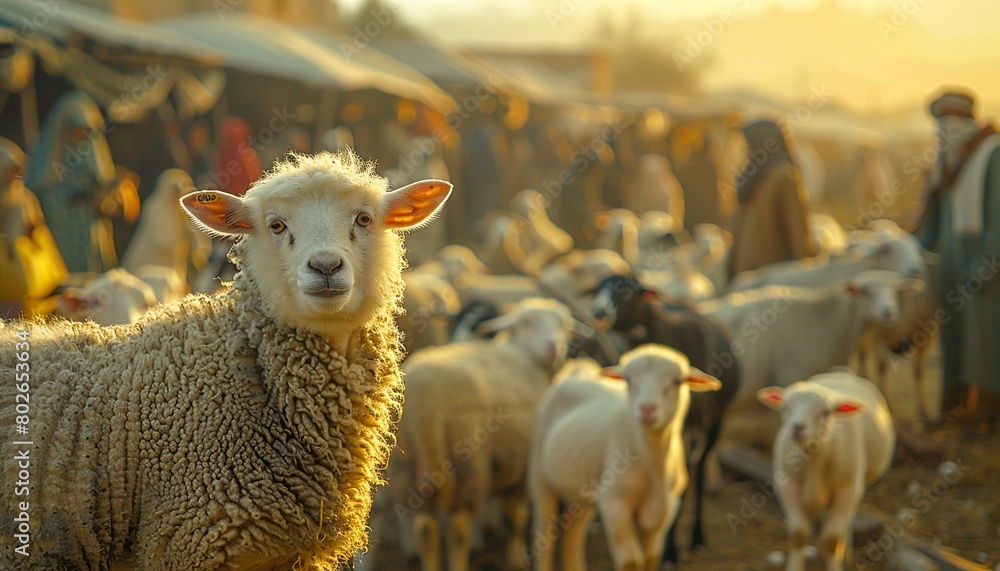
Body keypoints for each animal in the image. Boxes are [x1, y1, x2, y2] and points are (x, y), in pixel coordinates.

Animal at [390, 300, 580, 571]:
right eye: (527, 322)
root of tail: (424, 400)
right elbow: (516, 517)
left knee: (425, 529)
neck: (525, 354)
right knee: (458, 527)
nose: (554, 348)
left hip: (405, 467)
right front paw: (515, 557)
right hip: (469, 462)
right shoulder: (521, 464)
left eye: (563, 324)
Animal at [528, 344, 724, 571]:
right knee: (543, 537)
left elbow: (651, 558)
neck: (654, 463)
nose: (647, 409)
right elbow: (631, 561)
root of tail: (575, 372)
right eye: (629, 380)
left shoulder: (666, 510)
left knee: (571, 537)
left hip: (583, 493)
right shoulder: (615, 506)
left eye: (676, 381)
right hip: (539, 476)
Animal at [756, 370, 900, 571]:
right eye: (785, 407)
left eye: (825, 412)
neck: (813, 462)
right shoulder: (788, 488)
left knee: (844, 525)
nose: (797, 427)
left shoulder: (847, 491)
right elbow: (798, 533)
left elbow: (832, 538)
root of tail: (840, 372)